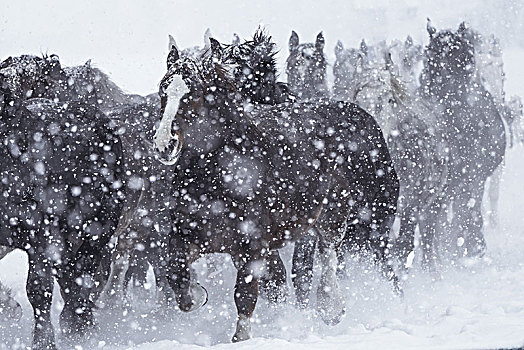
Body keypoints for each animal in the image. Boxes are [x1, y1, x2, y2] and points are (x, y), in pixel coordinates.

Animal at [0, 61, 124, 348]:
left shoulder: (43, 234)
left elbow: (39, 289)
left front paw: (44, 340)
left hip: (96, 231)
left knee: (82, 279)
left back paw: (79, 326)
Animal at [154, 32, 400, 342]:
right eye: (163, 92)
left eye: (194, 93)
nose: (164, 144)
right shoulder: (191, 236)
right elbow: (177, 275)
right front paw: (198, 294)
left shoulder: (253, 247)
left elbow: (246, 295)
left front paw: (243, 338)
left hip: (355, 219)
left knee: (335, 255)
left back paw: (332, 308)